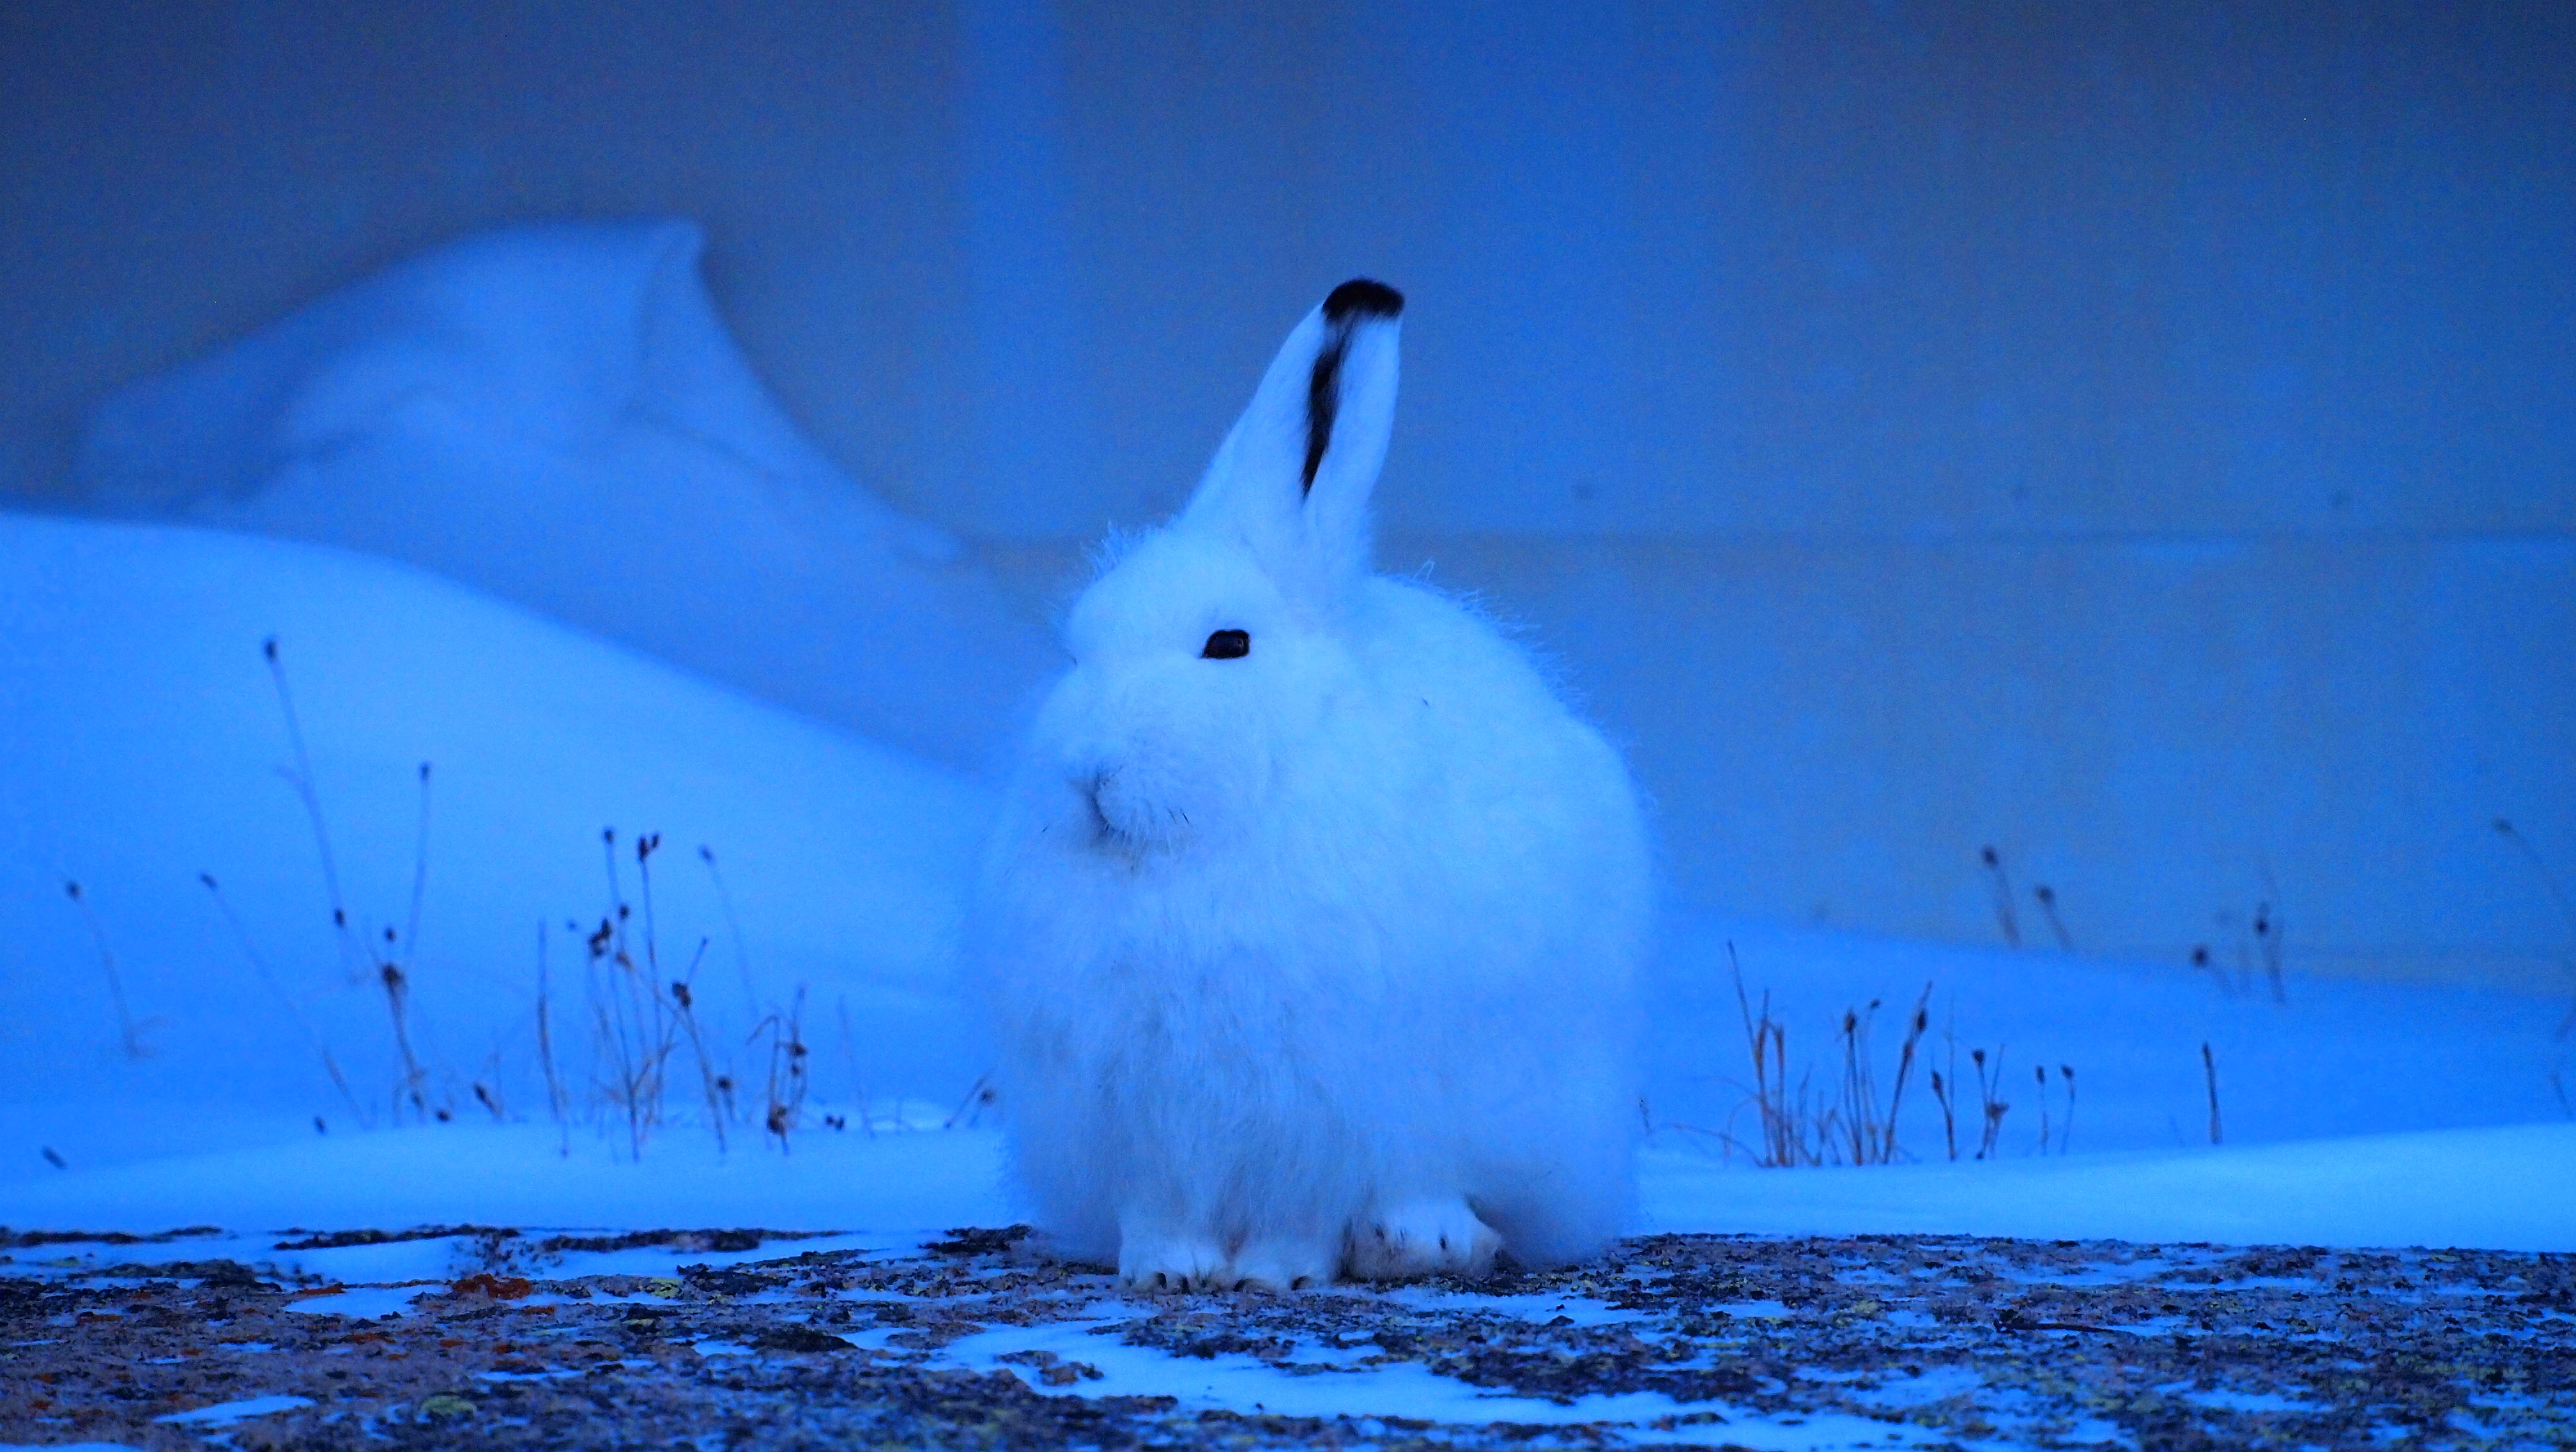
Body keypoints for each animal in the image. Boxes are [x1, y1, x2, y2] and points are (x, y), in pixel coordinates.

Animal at [966, 279, 1652, 1291]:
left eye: (1228, 644)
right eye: (1078, 651)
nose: (1090, 773)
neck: (1192, 848)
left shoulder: (1322, 1101)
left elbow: (1305, 1208)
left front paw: (1274, 1273)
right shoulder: (1134, 1109)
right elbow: (1159, 1206)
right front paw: (1165, 1269)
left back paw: (1421, 1241)